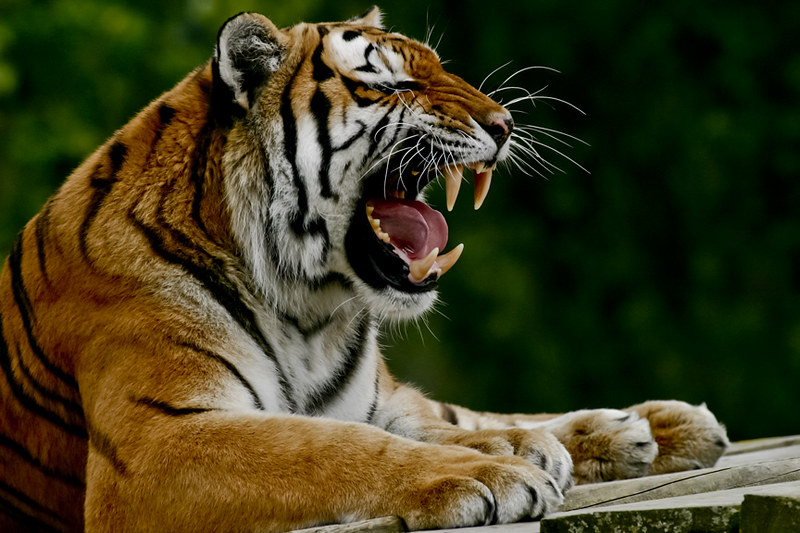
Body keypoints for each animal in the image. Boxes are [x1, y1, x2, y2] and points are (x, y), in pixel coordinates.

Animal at [0, 8, 729, 533]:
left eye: (441, 69)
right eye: (393, 84)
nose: (503, 122)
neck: (306, 310)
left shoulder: (371, 398)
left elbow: (433, 419)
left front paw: (528, 447)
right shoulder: (160, 441)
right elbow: (330, 447)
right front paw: (488, 473)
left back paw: (653, 426)